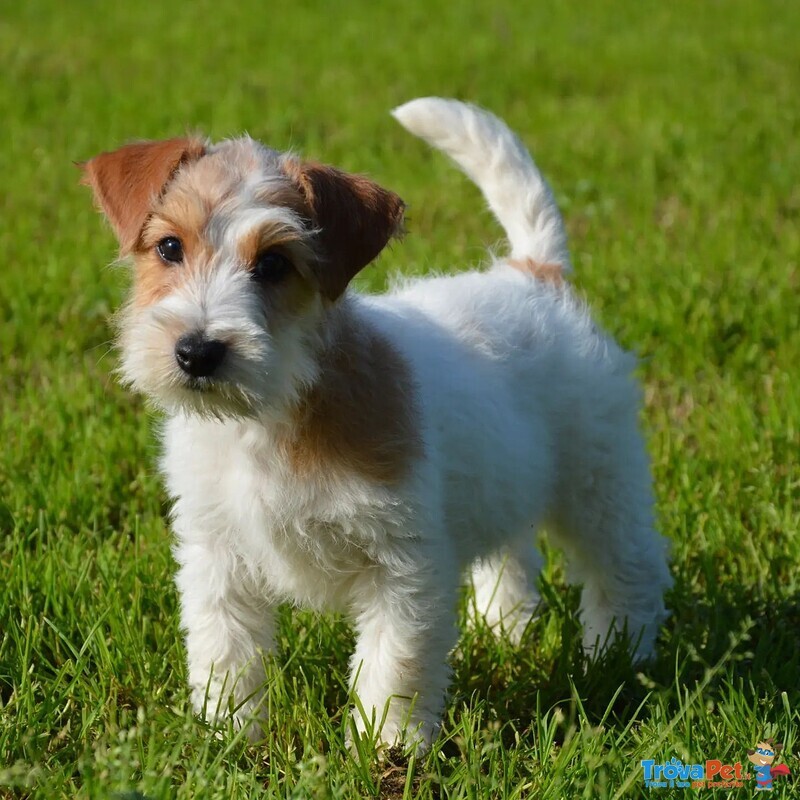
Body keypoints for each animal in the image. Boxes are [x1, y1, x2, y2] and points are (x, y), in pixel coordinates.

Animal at [81, 98, 672, 752]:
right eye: (168, 247)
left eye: (273, 263)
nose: (196, 352)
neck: (272, 415)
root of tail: (534, 273)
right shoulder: (217, 553)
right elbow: (224, 653)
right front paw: (229, 735)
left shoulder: (402, 566)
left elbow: (394, 667)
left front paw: (388, 750)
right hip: (505, 477)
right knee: (511, 557)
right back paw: (505, 631)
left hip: (599, 482)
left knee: (627, 568)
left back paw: (619, 660)